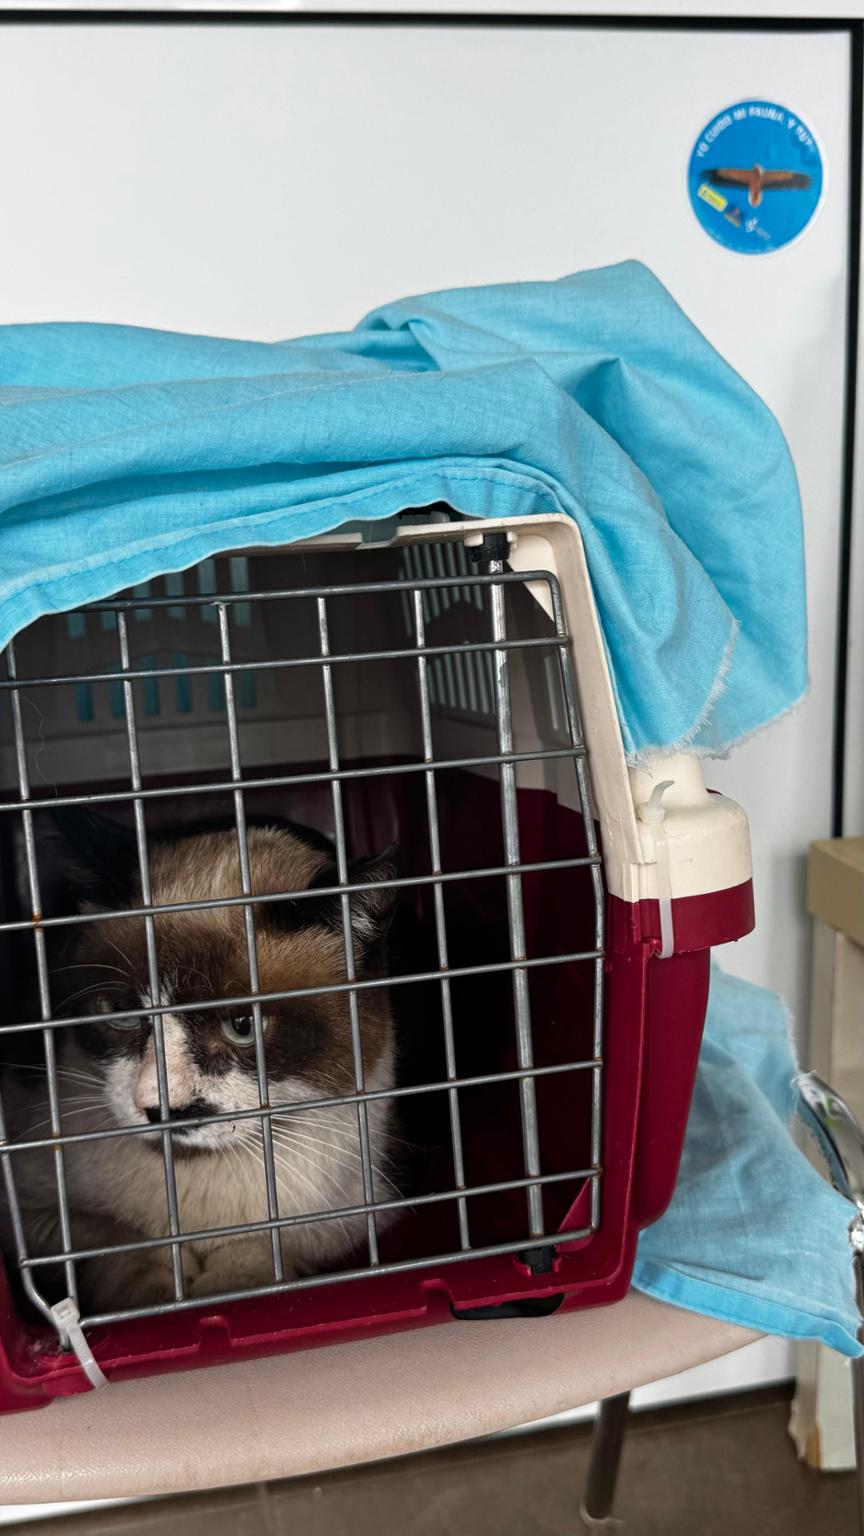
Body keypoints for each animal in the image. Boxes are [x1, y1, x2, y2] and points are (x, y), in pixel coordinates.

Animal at [1, 810, 400, 1317]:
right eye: (121, 1012)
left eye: (242, 1025)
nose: (162, 1108)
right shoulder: (29, 1211)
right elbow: (117, 1241)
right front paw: (161, 1296)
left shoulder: (352, 1216)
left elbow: (261, 1247)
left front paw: (222, 1291)